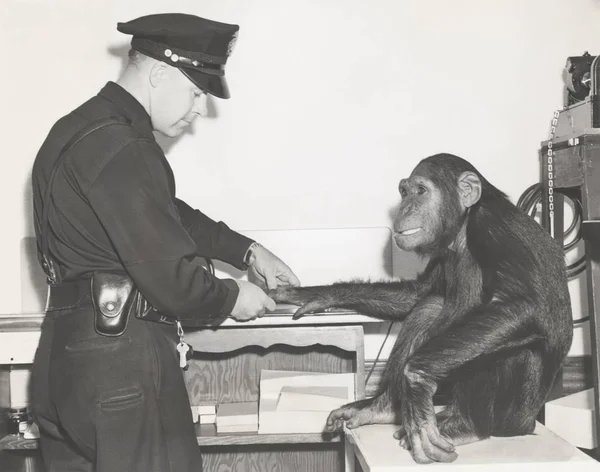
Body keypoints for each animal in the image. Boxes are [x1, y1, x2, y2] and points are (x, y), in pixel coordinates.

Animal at [272, 153, 572, 462]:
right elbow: (418, 292)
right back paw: (382, 408)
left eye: (421, 191)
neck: (462, 228)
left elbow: (526, 305)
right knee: (429, 306)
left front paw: (416, 380)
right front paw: (317, 294)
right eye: (404, 192)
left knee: (505, 335)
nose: (405, 207)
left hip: (513, 417)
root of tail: (530, 424)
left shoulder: (494, 225)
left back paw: (465, 425)